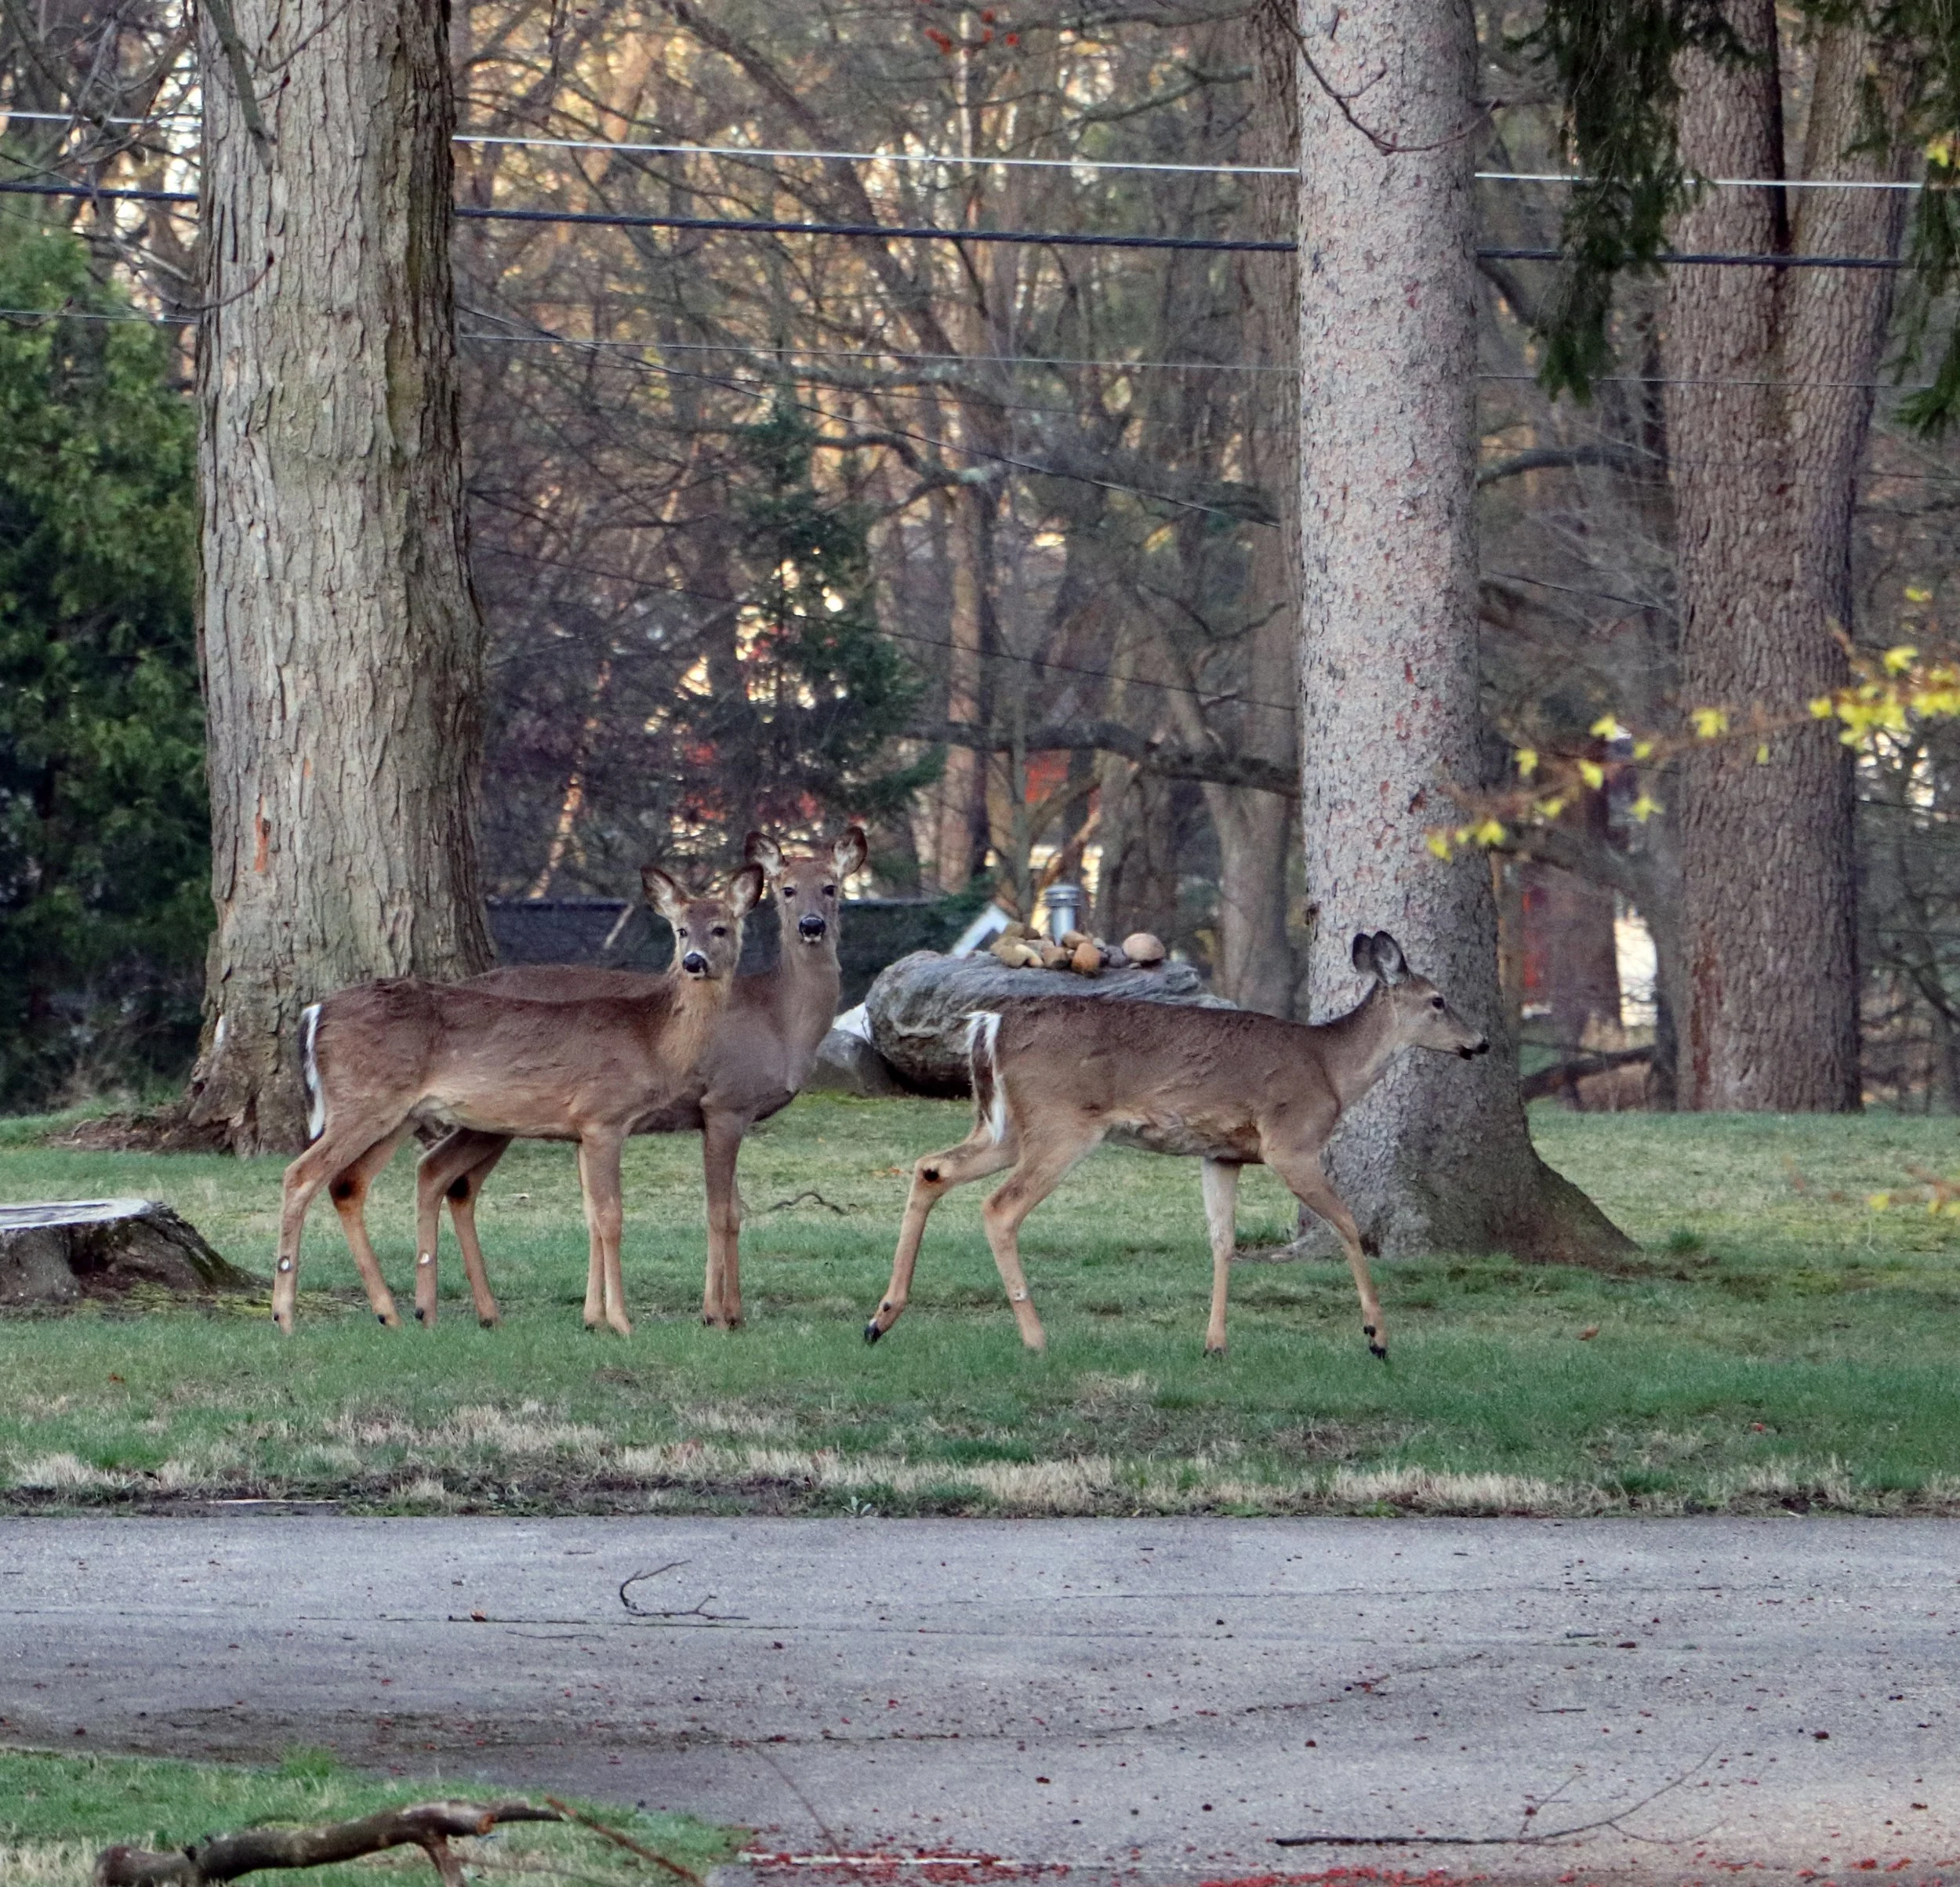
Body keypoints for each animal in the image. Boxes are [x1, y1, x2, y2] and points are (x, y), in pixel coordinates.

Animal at [277, 863, 763, 1336]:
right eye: (681, 930)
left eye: (720, 928)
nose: (694, 962)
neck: (649, 1038)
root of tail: (315, 1012)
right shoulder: (602, 1116)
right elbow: (611, 1217)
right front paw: (623, 1323)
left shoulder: (584, 1130)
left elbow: (591, 1216)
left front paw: (596, 1319)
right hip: (365, 1101)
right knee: (301, 1175)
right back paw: (285, 1316)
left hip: (397, 1113)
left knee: (348, 1183)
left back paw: (392, 1315)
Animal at [404, 826, 869, 1330]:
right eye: (787, 889)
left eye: (832, 887)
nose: (811, 925)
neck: (777, 1019)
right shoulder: (724, 1102)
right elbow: (719, 1213)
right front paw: (714, 1315)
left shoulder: (726, 1114)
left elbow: (734, 1212)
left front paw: (734, 1313)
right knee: (445, 1175)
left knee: (450, 1180)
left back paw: (477, 1312)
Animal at [862, 930, 1490, 1360]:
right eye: (1438, 999)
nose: (1480, 1042)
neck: (1332, 1070)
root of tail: (989, 1023)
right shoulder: (1291, 1141)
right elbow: (1348, 1225)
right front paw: (1377, 1336)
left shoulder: (1223, 1154)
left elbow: (1222, 1242)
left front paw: (1214, 1343)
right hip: (1060, 1123)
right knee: (999, 1207)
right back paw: (1036, 1337)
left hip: (1003, 1126)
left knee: (932, 1168)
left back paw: (880, 1318)